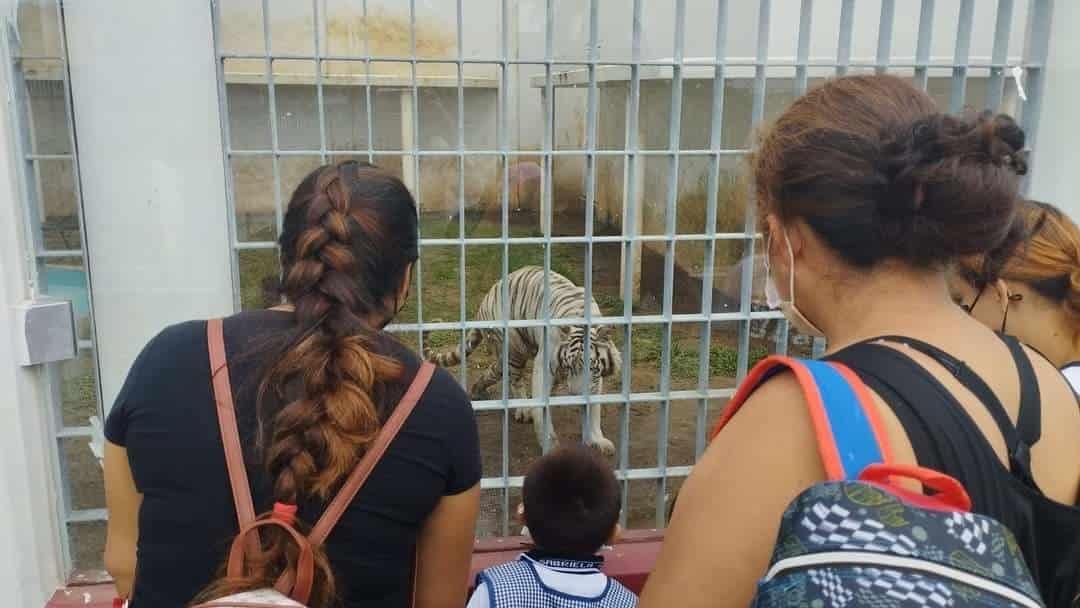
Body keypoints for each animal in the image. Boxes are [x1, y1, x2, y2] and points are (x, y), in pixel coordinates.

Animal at [423, 267, 622, 457]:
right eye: (569, 367)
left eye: (590, 367)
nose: (575, 395)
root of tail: (486, 298)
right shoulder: (545, 365)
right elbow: (542, 407)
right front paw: (549, 444)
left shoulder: (595, 378)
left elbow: (594, 410)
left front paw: (597, 440)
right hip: (514, 350)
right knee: (515, 380)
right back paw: (524, 409)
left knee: (494, 371)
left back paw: (478, 391)